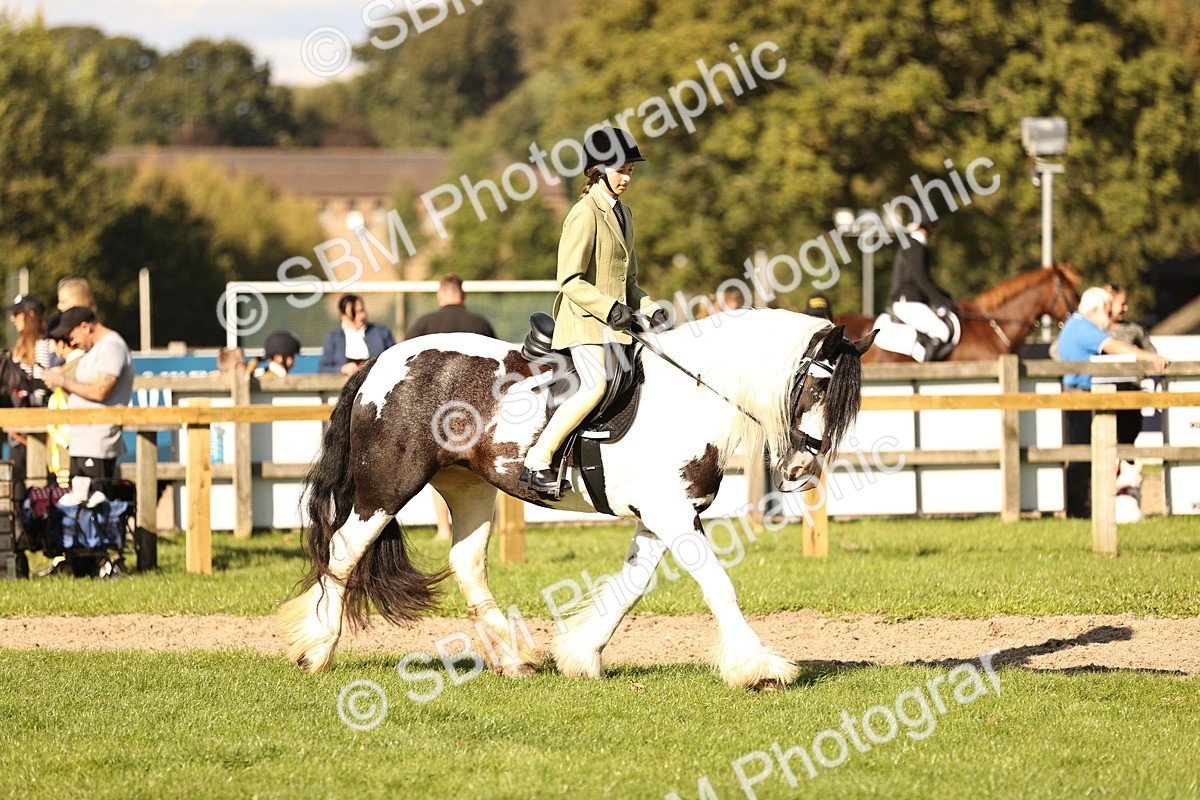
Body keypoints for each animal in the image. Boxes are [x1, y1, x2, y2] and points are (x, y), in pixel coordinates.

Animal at [277, 309, 876, 689]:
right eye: (817, 387)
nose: (801, 471)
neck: (692, 397)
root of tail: (378, 363)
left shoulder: (662, 518)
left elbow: (630, 590)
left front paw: (581, 655)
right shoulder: (672, 516)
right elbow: (718, 586)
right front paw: (760, 667)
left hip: (468, 487)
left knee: (466, 562)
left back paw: (516, 658)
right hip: (387, 487)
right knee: (343, 552)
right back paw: (317, 651)